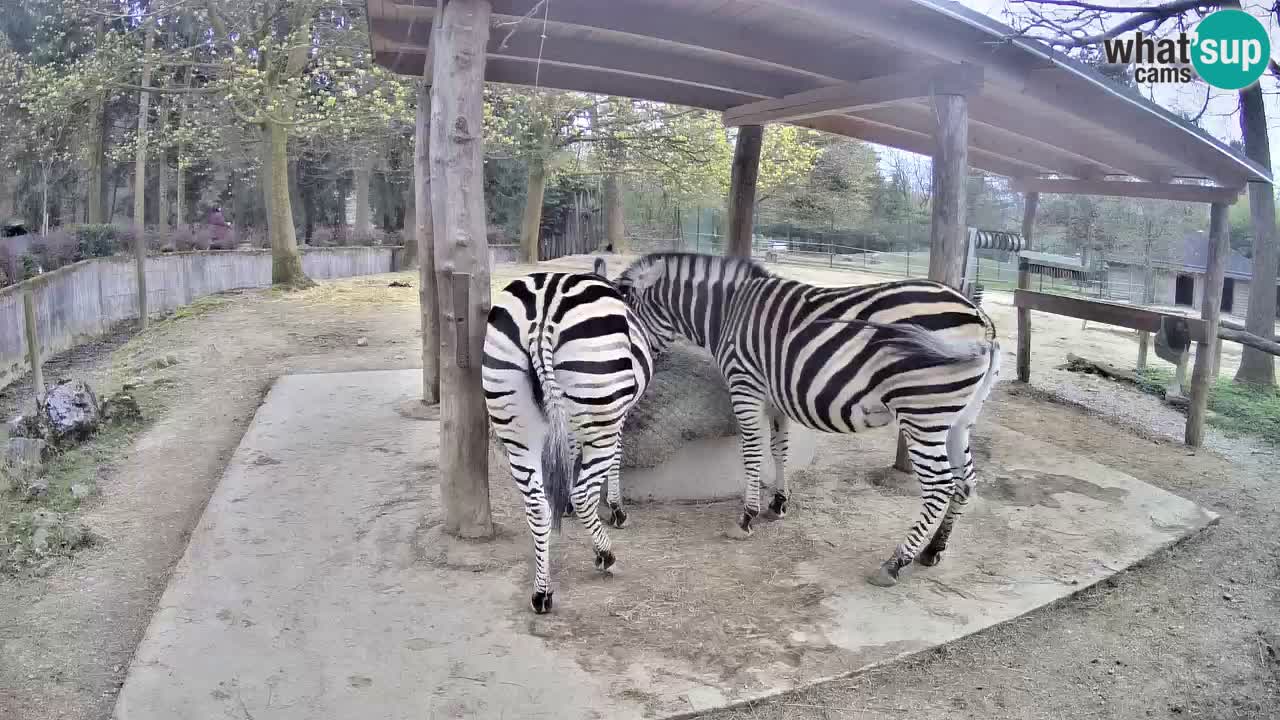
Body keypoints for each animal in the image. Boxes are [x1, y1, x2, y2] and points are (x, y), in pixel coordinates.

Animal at [482, 267, 654, 613]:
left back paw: (542, 592)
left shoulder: (570, 421)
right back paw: (605, 555)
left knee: (536, 506)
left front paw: (565, 507)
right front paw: (616, 509)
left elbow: (570, 454)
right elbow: (615, 459)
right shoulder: (617, 416)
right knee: (584, 494)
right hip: (600, 412)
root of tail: (543, 317)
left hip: (516, 425)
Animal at [613, 252, 1001, 587]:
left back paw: (894, 563)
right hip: (958, 419)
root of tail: (982, 321)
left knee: (940, 486)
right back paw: (933, 549)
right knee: (966, 481)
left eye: (627, 326)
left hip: (922, 414)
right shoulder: (775, 397)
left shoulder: (745, 384)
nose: (631, 375)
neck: (727, 313)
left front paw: (746, 517)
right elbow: (779, 449)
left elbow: (752, 453)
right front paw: (778, 503)